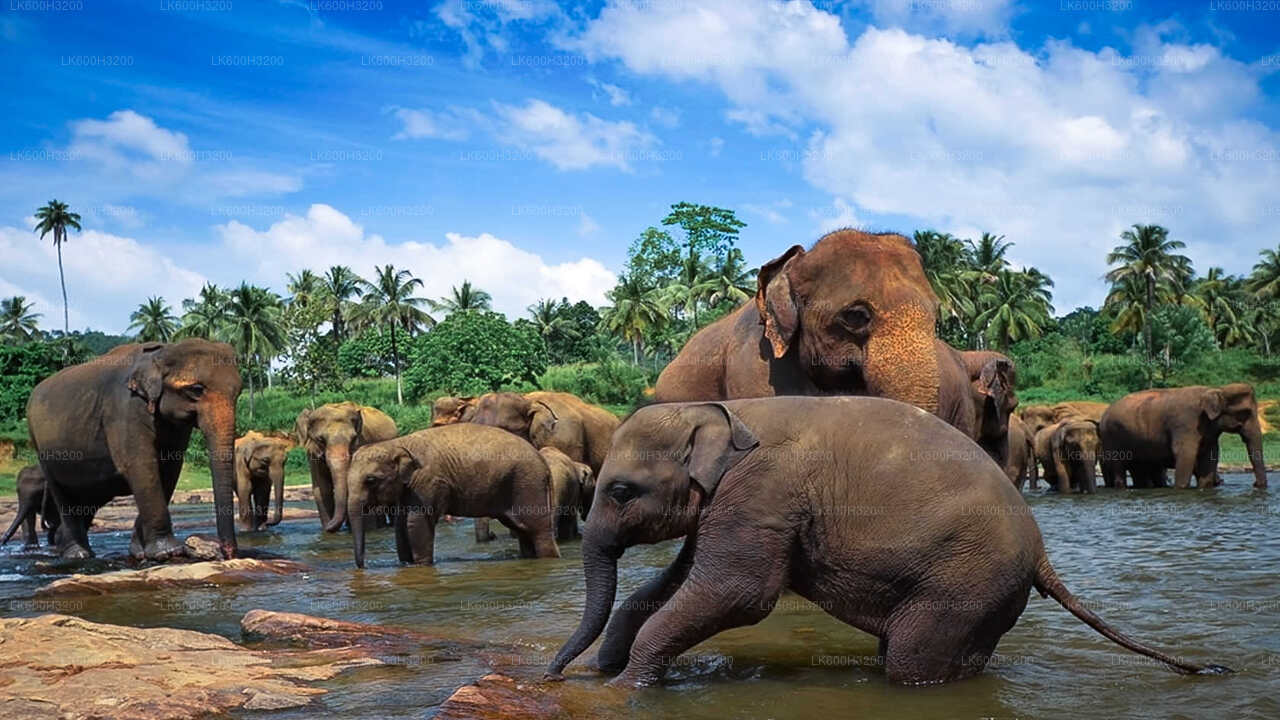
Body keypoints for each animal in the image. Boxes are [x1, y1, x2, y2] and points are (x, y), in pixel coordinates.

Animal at [26, 339, 241, 560]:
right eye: (196, 389)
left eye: (239, 392)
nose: (228, 552)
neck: (161, 353)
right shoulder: (124, 410)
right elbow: (142, 467)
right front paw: (168, 552)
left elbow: (169, 469)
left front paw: (139, 552)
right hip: (40, 448)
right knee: (63, 497)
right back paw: (78, 554)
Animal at [295, 402, 397, 532]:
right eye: (321, 440)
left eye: (353, 439)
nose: (327, 527)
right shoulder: (312, 454)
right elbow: (322, 489)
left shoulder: (363, 443)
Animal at [345, 423, 561, 567]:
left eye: (370, 480)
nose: (364, 566)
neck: (397, 443)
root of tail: (544, 462)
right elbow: (401, 524)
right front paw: (406, 564)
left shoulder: (428, 481)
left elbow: (416, 522)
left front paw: (421, 566)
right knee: (522, 530)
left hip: (528, 485)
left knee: (538, 531)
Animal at [545, 397, 1227, 688]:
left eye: (621, 491)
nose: (553, 675)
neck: (718, 410)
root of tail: (1041, 554)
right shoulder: (733, 503)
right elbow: (679, 579)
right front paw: (609, 669)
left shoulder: (761, 491)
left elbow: (737, 593)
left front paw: (626, 687)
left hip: (965, 582)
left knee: (911, 663)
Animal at [1100, 384, 1267, 490]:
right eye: (1246, 413)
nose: (1255, 485)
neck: (1217, 389)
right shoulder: (1186, 424)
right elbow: (1185, 454)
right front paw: (1180, 488)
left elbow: (1210, 455)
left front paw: (1204, 487)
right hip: (1111, 437)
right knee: (1119, 466)